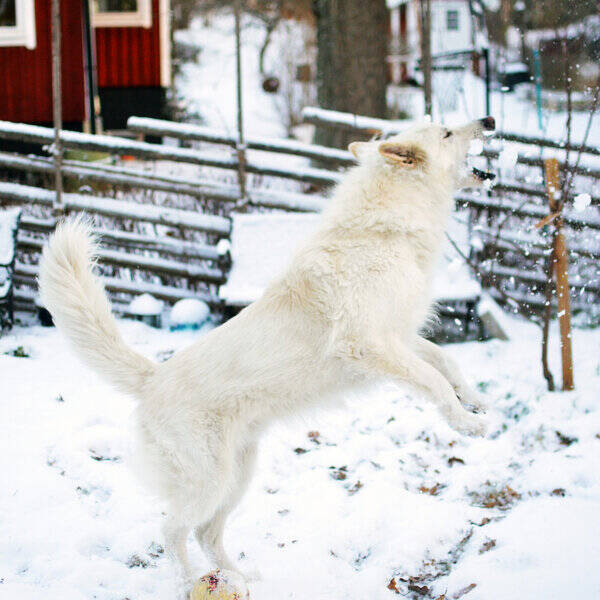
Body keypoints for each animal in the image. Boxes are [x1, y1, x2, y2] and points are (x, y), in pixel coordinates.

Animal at [38, 116, 496, 592]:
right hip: (209, 481)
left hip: (238, 475)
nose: (489, 121)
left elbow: (447, 364)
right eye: (445, 132)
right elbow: (435, 382)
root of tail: (152, 379)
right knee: (171, 531)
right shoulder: (369, 344)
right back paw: (187, 583)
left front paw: (477, 402)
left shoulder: (400, 339)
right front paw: (467, 425)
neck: (385, 230)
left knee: (206, 533)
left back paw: (239, 578)